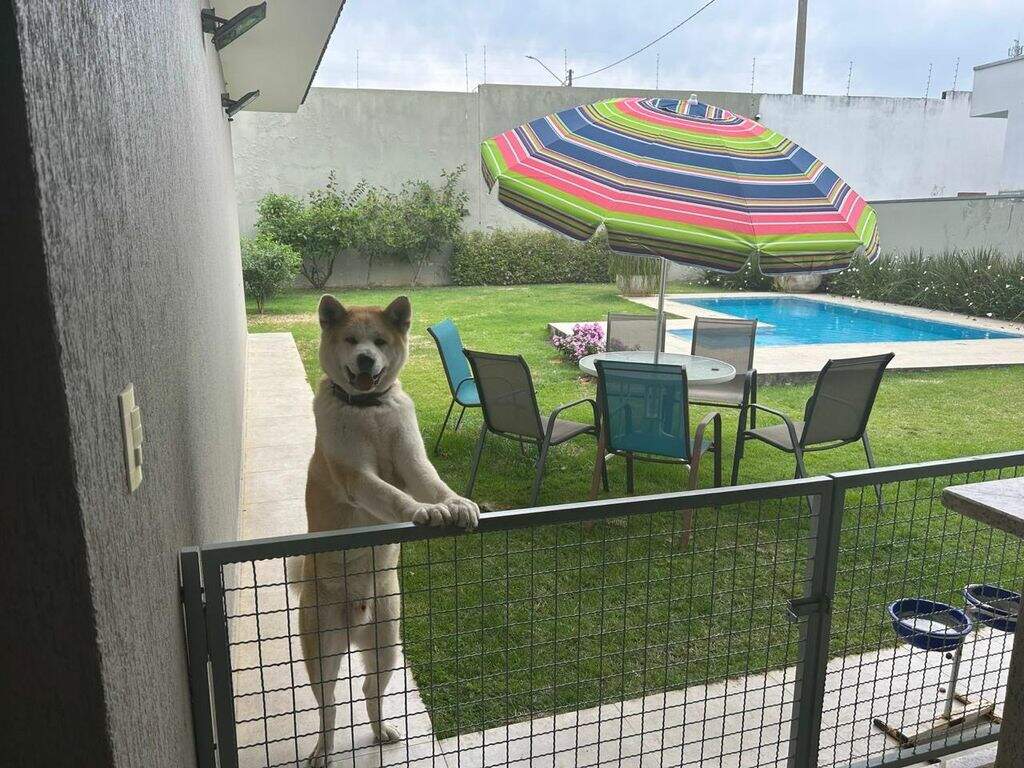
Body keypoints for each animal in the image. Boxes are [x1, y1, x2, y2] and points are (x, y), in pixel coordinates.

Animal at [299, 294, 479, 767]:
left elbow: (435, 484)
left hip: (385, 645)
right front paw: (425, 511)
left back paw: (381, 731)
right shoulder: (358, 476)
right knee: (329, 706)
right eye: (351, 340)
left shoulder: (412, 463)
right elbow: (394, 497)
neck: (369, 412)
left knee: (368, 691)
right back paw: (323, 750)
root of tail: (356, 616)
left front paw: (456, 504)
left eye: (379, 341)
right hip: (322, 651)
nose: (365, 358)